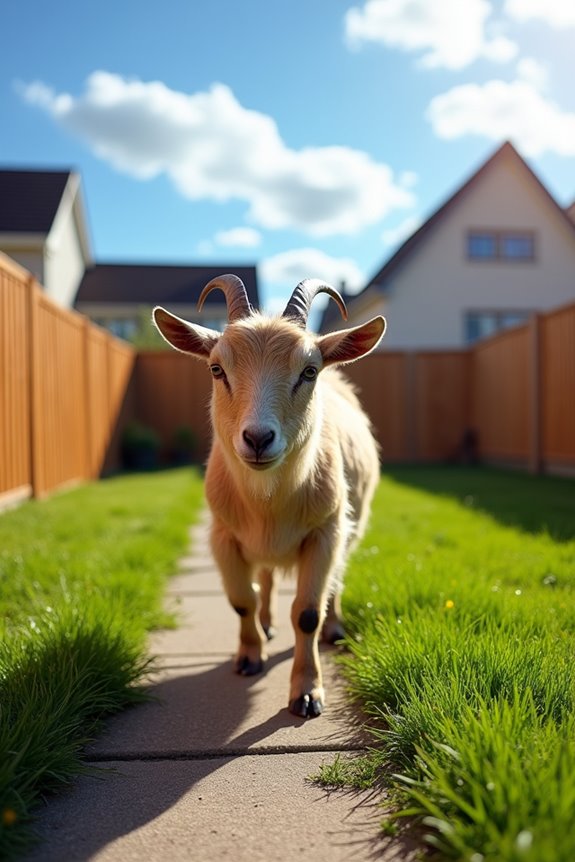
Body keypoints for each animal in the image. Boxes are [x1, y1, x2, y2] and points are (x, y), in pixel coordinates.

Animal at [153, 274, 385, 717]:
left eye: (309, 371)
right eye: (216, 368)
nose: (258, 438)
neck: (269, 502)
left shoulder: (325, 532)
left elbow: (308, 612)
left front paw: (307, 692)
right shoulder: (223, 536)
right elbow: (241, 599)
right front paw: (249, 657)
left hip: (353, 524)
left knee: (337, 579)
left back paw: (335, 627)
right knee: (265, 577)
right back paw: (266, 623)